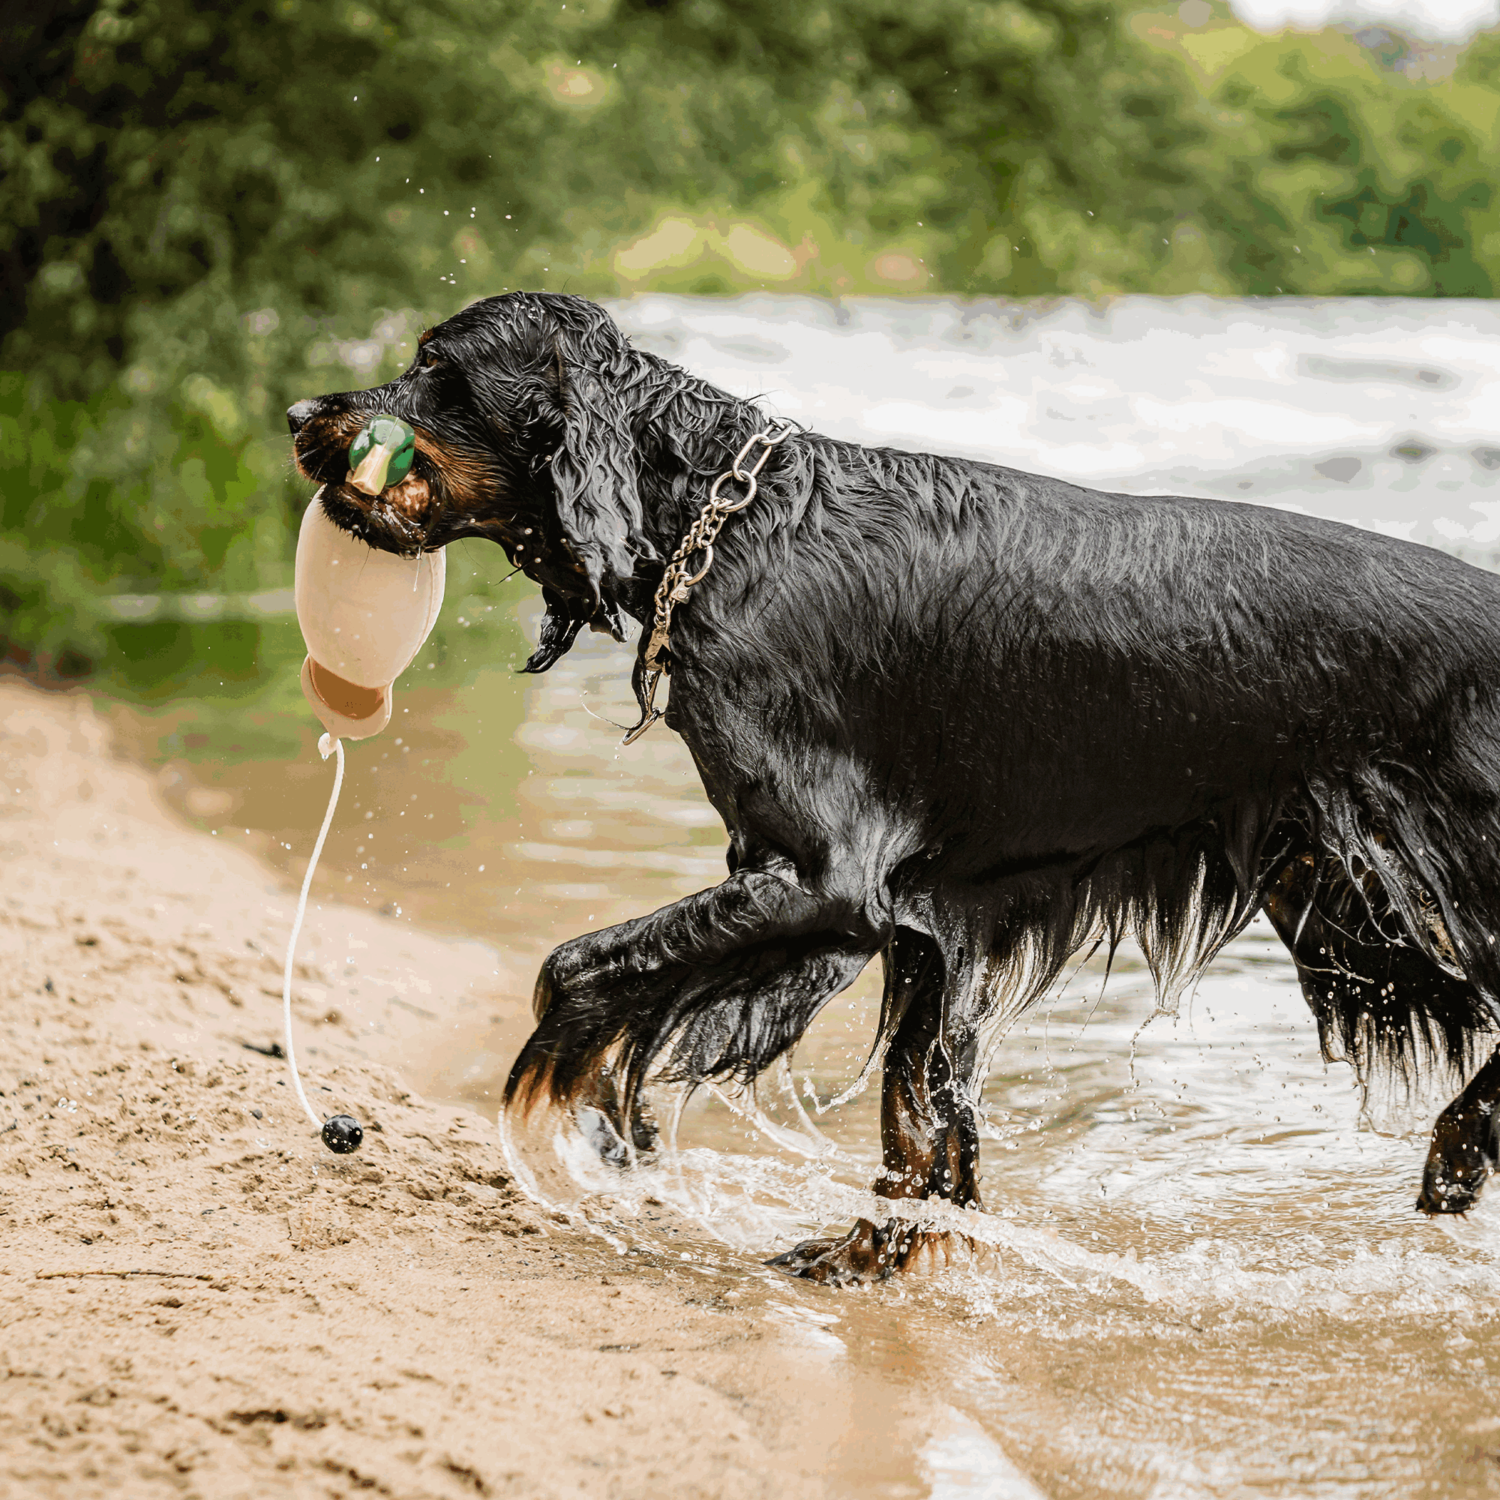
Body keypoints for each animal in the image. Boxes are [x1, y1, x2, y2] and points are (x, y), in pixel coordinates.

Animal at [292, 295, 1500, 1290]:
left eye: (437, 367)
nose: (302, 410)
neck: (727, 528)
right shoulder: (928, 919)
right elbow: (917, 1118)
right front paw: (879, 1253)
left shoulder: (829, 882)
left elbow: (573, 966)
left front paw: (590, 1126)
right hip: (1348, 914)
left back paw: (1455, 1151)